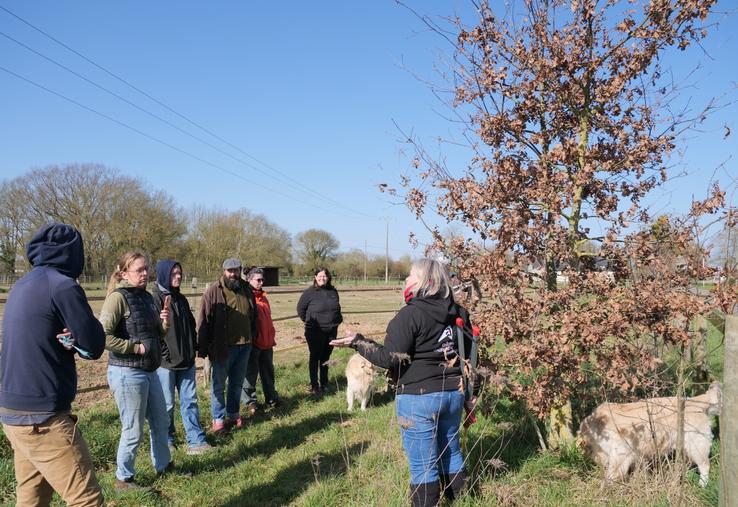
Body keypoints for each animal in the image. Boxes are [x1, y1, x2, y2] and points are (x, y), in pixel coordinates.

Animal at [576, 380, 720, 488]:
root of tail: (693, 400)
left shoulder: (621, 454)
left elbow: (611, 476)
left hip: (696, 445)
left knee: (705, 465)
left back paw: (702, 485)